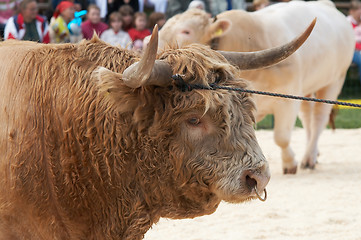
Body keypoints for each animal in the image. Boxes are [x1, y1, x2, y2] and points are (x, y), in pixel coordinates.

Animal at [153, 0, 352, 172]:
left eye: (185, 31)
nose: (149, 43)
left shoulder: (289, 98)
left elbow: (281, 137)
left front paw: (290, 164)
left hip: (335, 80)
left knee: (319, 117)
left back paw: (309, 158)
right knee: (307, 117)